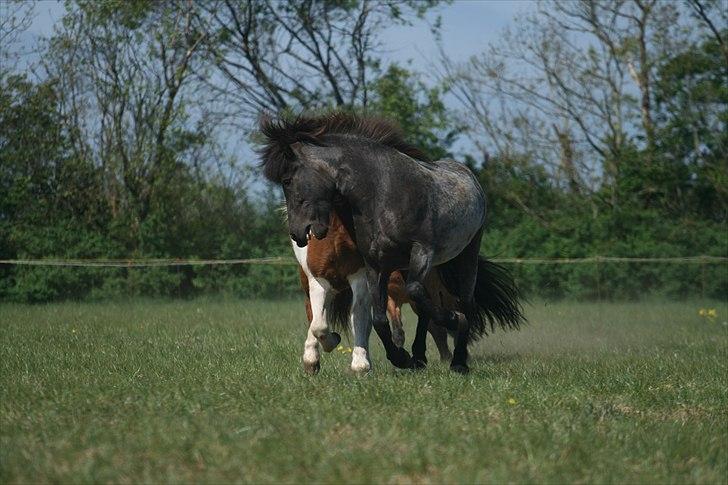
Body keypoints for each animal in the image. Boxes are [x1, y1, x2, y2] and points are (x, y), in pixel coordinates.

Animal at [260, 111, 524, 372]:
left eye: (286, 180)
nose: (297, 233)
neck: (382, 195)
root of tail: (469, 176)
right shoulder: (375, 266)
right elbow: (376, 319)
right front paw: (399, 358)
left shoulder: (419, 252)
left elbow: (406, 299)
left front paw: (451, 322)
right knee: (425, 311)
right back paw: (418, 358)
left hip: (465, 255)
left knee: (464, 302)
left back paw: (458, 361)